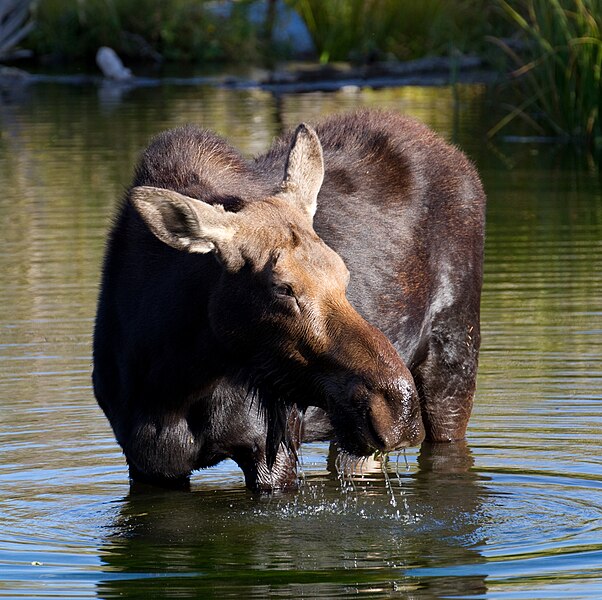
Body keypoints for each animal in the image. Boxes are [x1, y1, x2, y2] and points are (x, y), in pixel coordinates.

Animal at [91, 110, 486, 490]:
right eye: (283, 288)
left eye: (344, 275)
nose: (396, 408)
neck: (172, 382)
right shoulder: (148, 466)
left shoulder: (271, 451)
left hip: (453, 364)